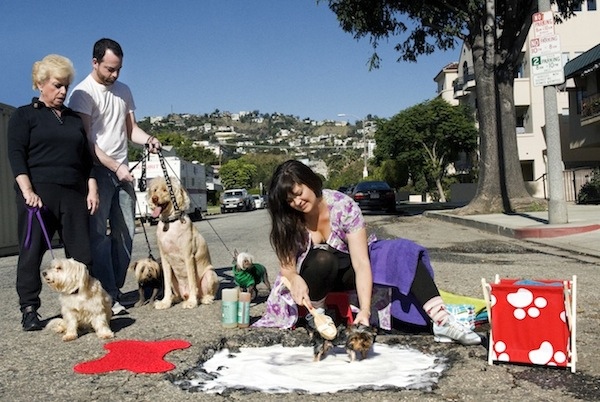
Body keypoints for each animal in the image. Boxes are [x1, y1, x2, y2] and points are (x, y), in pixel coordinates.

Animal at [146, 177, 219, 310]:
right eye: (155, 190)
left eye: (165, 190)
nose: (154, 198)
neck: (169, 223)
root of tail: (185, 294)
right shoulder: (165, 260)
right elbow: (166, 285)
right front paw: (165, 302)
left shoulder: (188, 257)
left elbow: (192, 281)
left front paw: (192, 302)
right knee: (178, 294)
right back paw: (175, 299)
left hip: (210, 274)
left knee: (206, 294)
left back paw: (203, 299)